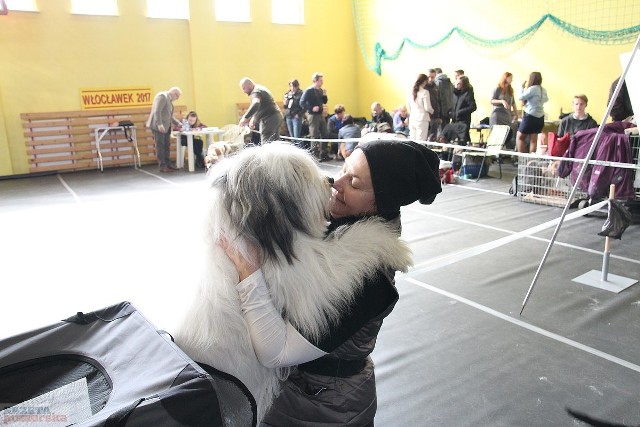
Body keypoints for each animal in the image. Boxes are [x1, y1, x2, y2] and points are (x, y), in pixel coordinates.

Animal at [174, 142, 410, 422]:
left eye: (348, 179)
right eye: (298, 173)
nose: (331, 180)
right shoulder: (306, 279)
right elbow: (350, 246)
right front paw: (393, 246)